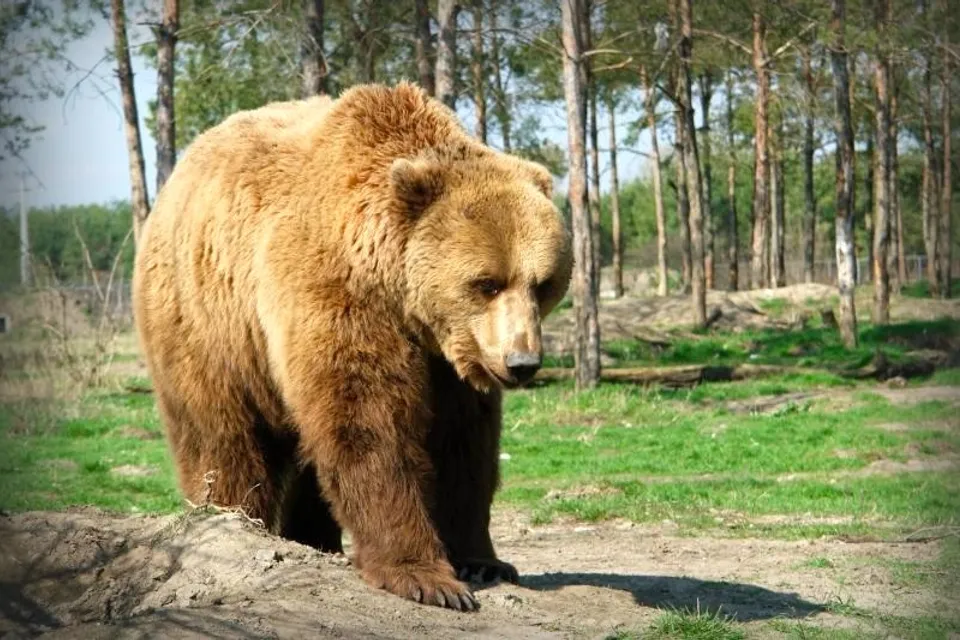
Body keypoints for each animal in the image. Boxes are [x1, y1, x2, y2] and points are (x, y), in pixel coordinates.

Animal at [132, 81, 573, 611]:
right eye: (487, 283)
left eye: (543, 283)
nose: (522, 362)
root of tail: (176, 178)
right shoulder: (339, 294)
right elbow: (370, 425)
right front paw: (427, 577)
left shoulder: (451, 363)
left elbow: (463, 444)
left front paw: (483, 560)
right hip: (206, 322)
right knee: (223, 435)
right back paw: (235, 518)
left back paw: (312, 539)